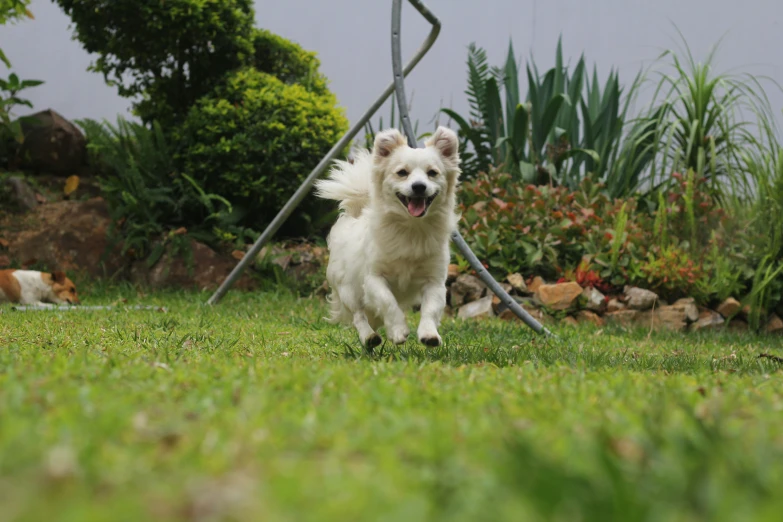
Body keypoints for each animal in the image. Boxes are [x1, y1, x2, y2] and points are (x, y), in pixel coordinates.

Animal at [316, 125, 462, 346]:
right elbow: (388, 302)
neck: (411, 228)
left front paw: (429, 334)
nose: (419, 186)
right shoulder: (374, 278)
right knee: (358, 315)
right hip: (348, 288)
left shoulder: (435, 281)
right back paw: (369, 337)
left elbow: (430, 308)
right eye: (402, 173)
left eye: (432, 173)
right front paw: (398, 330)